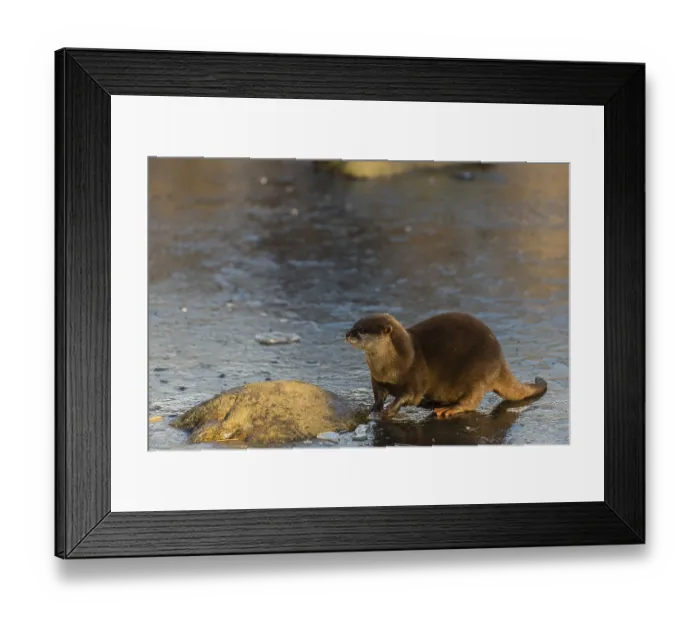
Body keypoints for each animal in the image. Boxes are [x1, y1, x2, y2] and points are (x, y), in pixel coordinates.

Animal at [345, 312, 547, 417]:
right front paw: (374, 408)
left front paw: (390, 409)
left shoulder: (415, 377)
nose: (347, 334)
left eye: (361, 330)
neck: (392, 366)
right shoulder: (377, 379)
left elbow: (408, 396)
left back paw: (449, 409)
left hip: (480, 373)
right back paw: (432, 402)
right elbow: (378, 394)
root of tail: (501, 360)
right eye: (354, 325)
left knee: (471, 400)